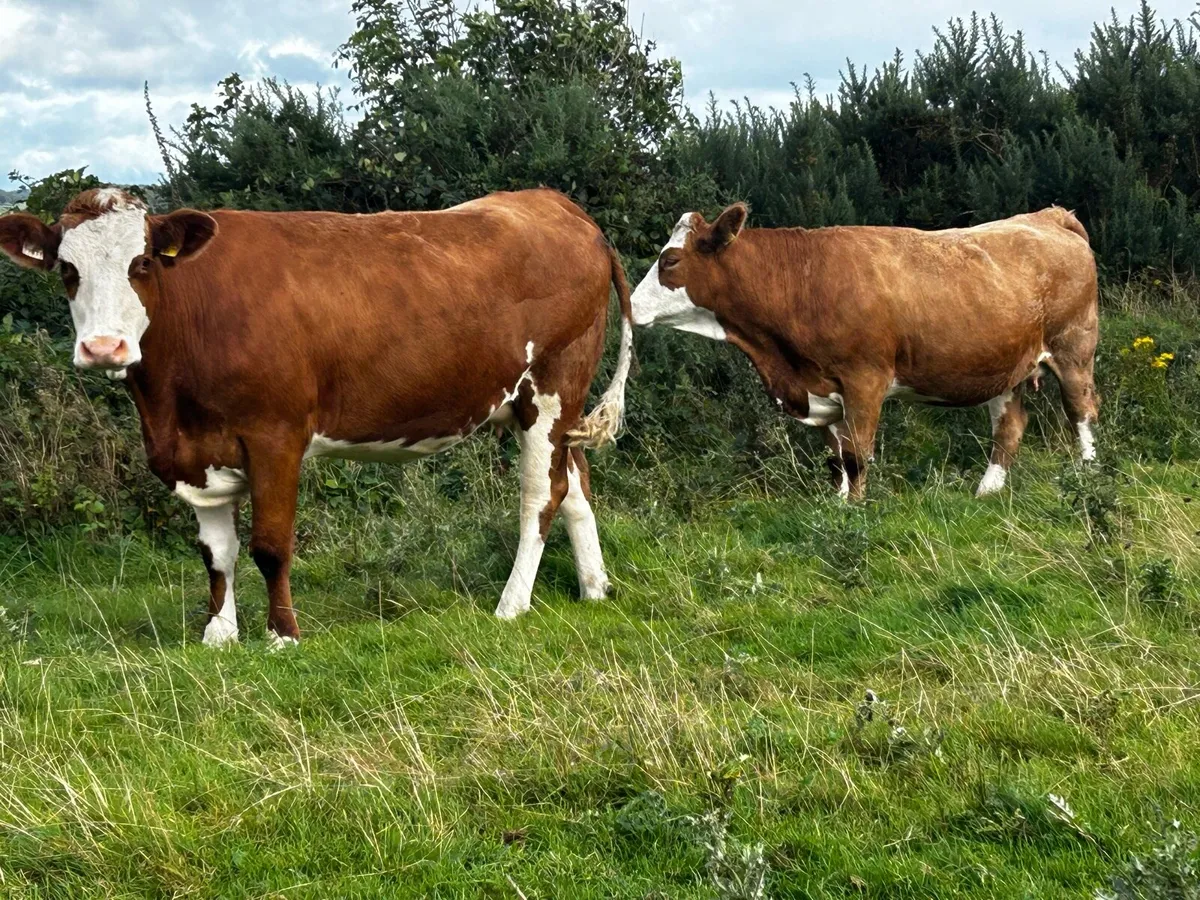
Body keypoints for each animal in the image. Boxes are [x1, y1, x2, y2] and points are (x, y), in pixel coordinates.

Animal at [0, 187, 634, 646]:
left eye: (143, 264)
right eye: (66, 270)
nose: (103, 348)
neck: (168, 406)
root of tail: (557, 203)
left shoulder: (275, 435)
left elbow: (269, 544)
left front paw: (282, 635)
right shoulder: (194, 454)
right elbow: (216, 552)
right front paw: (218, 635)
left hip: (551, 388)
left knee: (541, 495)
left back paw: (512, 604)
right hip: (547, 405)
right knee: (575, 481)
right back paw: (594, 588)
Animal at [630, 204, 1099, 499]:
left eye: (669, 261)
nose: (630, 306)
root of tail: (1049, 216)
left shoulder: (864, 380)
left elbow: (856, 457)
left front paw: (856, 513)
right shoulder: (823, 391)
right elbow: (837, 459)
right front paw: (837, 509)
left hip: (1073, 348)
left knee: (1082, 413)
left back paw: (1090, 477)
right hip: (1006, 366)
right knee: (1010, 427)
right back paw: (986, 492)